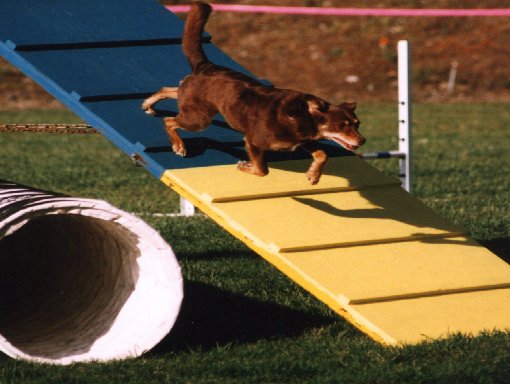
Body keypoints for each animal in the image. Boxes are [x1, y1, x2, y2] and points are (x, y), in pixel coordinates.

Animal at [143, 1, 364, 184]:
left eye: (357, 124)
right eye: (342, 126)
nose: (363, 140)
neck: (302, 118)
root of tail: (206, 66)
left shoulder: (302, 141)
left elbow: (322, 154)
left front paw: (313, 175)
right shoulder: (254, 142)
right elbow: (262, 170)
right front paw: (245, 165)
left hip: (194, 105)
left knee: (170, 89)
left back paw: (148, 105)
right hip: (198, 119)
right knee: (169, 121)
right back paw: (178, 146)